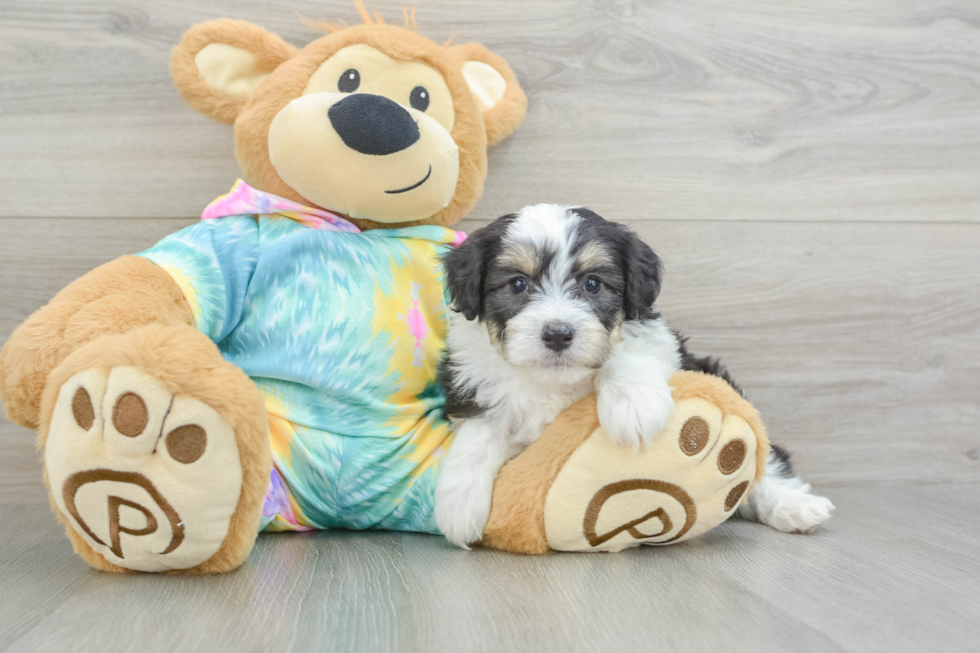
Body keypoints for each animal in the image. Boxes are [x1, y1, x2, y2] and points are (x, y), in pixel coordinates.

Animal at [436, 205, 836, 552]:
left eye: (593, 284)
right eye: (518, 285)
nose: (558, 334)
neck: (555, 380)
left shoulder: (665, 347)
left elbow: (627, 352)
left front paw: (634, 408)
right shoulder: (469, 383)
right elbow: (479, 432)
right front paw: (460, 505)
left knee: (766, 462)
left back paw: (795, 505)